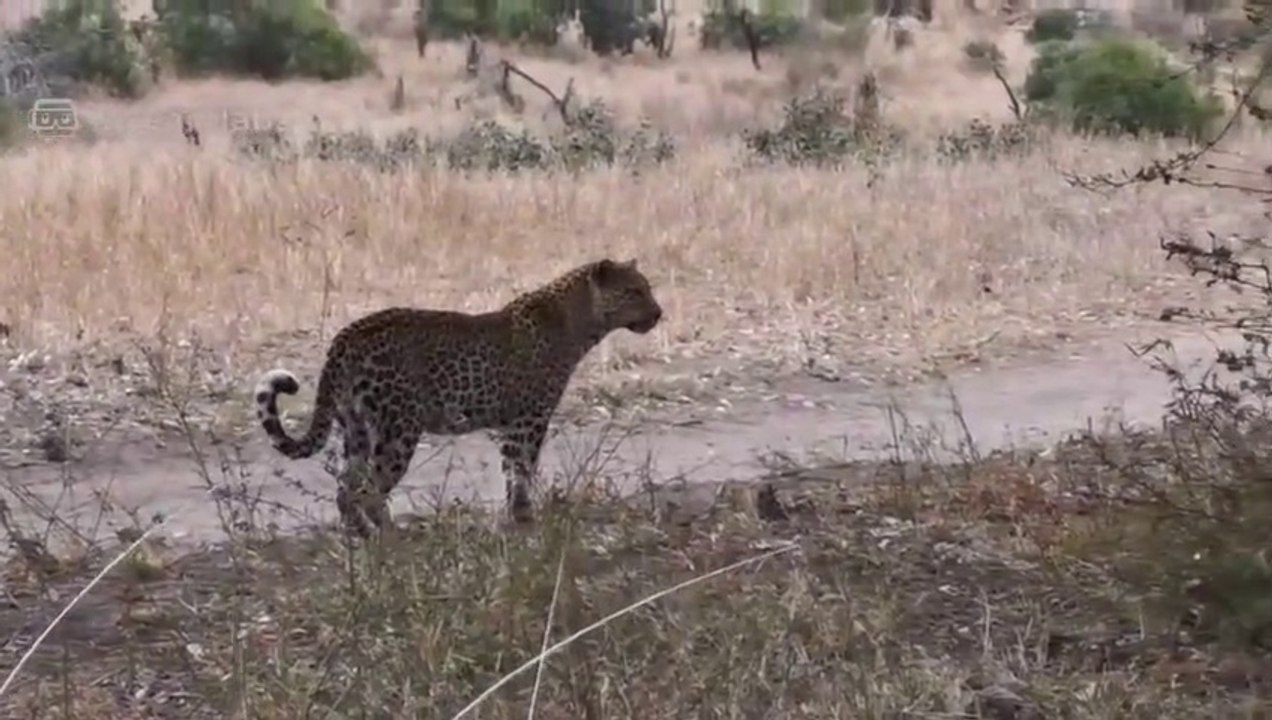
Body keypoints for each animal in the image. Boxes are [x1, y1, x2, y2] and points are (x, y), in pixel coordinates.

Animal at [253, 258, 663, 537]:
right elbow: (522, 471)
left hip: (356, 428)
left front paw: (514, 519)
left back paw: (361, 535)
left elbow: (512, 472)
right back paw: (391, 537)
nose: (659, 313)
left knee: (346, 485)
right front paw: (524, 519)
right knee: (370, 488)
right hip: (397, 429)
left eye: (648, 289)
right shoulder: (529, 419)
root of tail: (345, 336)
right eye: (634, 292)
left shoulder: (511, 425)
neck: (580, 322)